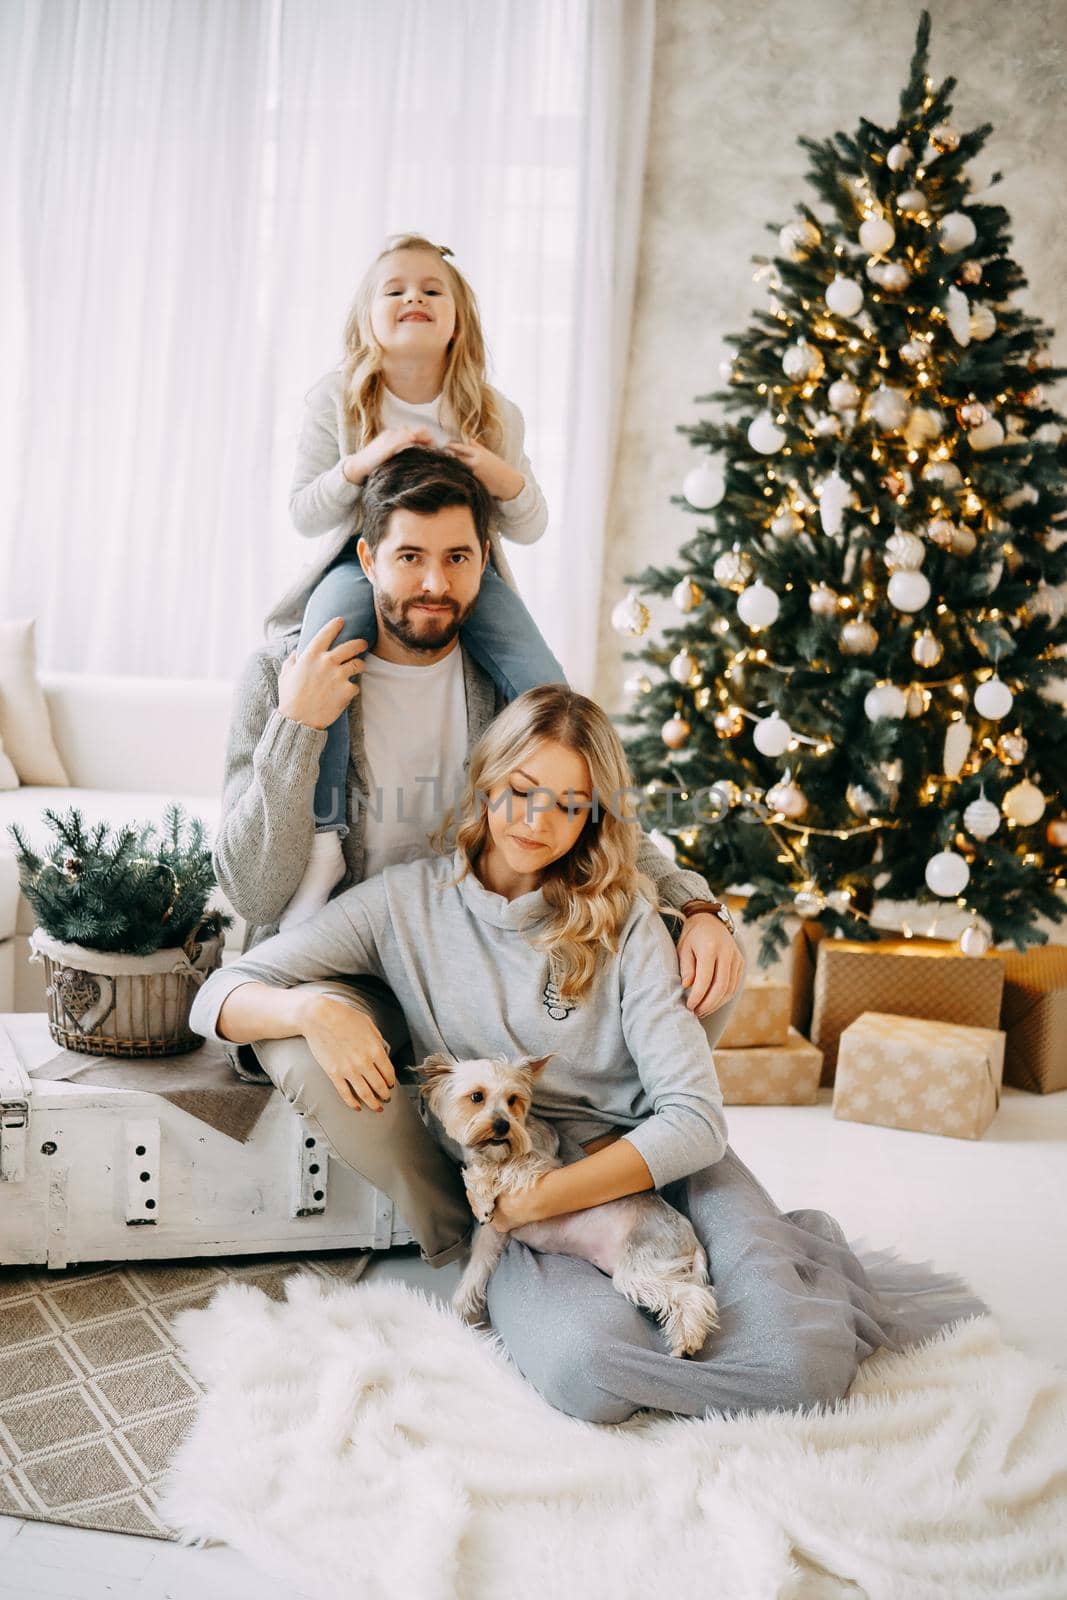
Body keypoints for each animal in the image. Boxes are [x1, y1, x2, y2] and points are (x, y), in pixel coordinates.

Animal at [415, 1056, 716, 1356]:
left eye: (513, 1099)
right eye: (476, 1096)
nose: (502, 1126)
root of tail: (690, 1238)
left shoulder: (541, 1166)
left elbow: (503, 1166)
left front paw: (481, 1190)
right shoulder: (493, 1236)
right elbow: (476, 1270)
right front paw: (460, 1316)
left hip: (640, 1264)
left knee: (694, 1295)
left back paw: (686, 1342)